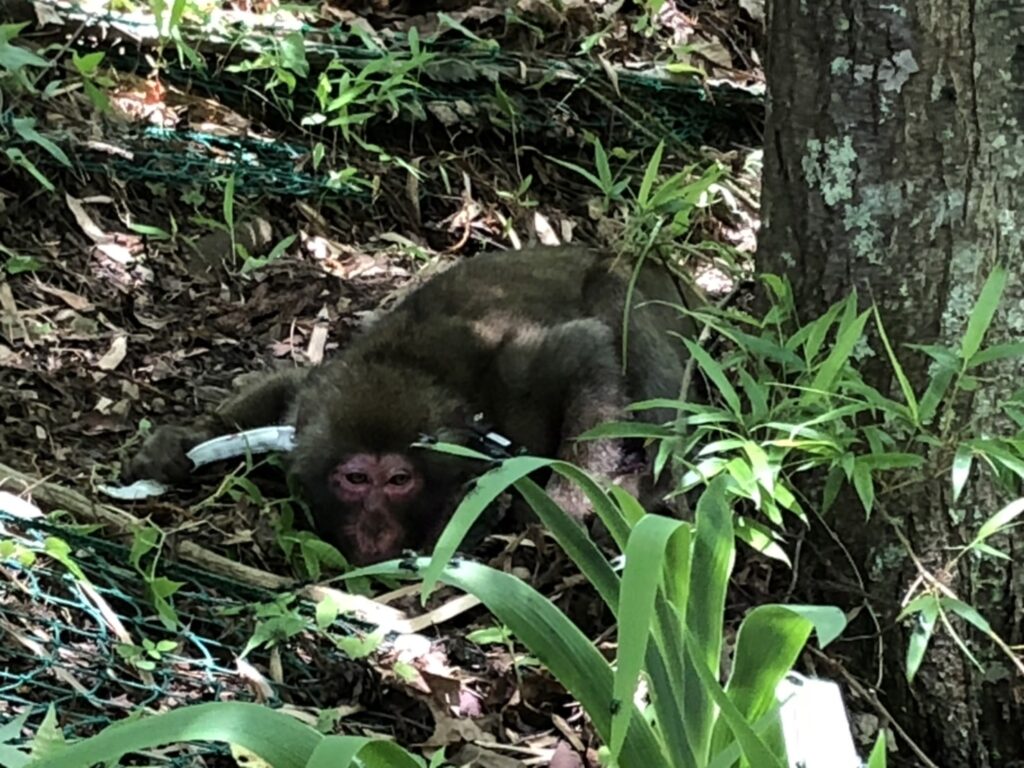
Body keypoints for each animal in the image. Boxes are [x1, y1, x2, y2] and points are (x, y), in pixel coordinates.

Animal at [125, 246, 696, 565]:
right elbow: (288, 386)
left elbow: (586, 351)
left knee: (619, 296)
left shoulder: (515, 379)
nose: (374, 529)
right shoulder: (315, 394)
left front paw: (568, 503)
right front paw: (183, 441)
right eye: (356, 479)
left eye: (399, 480)